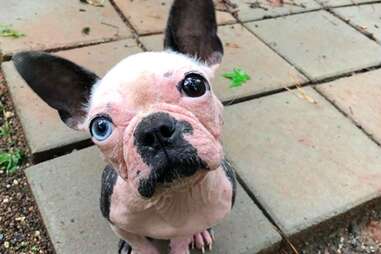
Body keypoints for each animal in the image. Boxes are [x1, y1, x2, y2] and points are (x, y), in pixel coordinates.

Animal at [13, 0, 236, 253]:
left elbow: (181, 242)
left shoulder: (188, 226)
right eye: (100, 127)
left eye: (195, 85)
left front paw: (188, 238)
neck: (173, 195)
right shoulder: (116, 221)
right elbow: (141, 243)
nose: (154, 129)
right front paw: (138, 247)